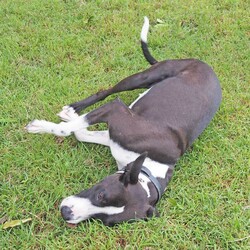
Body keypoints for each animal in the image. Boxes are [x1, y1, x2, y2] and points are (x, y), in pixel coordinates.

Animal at [25, 16, 221, 226]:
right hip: (142, 78)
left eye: (105, 220)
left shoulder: (112, 134)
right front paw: (40, 126)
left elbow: (80, 133)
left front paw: (69, 122)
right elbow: (67, 129)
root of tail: (207, 67)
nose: (66, 213)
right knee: (105, 92)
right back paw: (73, 108)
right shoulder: (116, 110)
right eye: (101, 194)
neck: (150, 165)